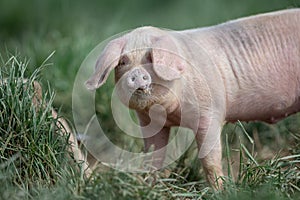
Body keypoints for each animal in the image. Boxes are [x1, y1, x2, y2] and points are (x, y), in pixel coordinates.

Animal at [85, 8, 300, 188]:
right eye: (123, 61)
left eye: (150, 58)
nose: (137, 74)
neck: (173, 114)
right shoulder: (149, 122)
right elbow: (153, 157)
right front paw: (149, 186)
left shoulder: (210, 112)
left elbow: (210, 159)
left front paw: (220, 190)